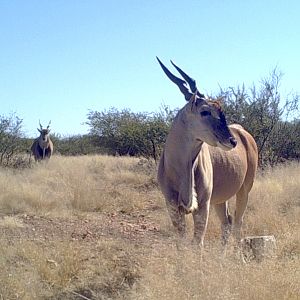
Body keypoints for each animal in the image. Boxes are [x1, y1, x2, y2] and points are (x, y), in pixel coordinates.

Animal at [157, 56, 258, 248]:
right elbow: (181, 243)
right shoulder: (171, 206)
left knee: (237, 224)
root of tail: (245, 134)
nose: (232, 141)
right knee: (227, 222)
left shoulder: (203, 206)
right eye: (205, 111)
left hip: (244, 190)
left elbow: (197, 244)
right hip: (220, 200)